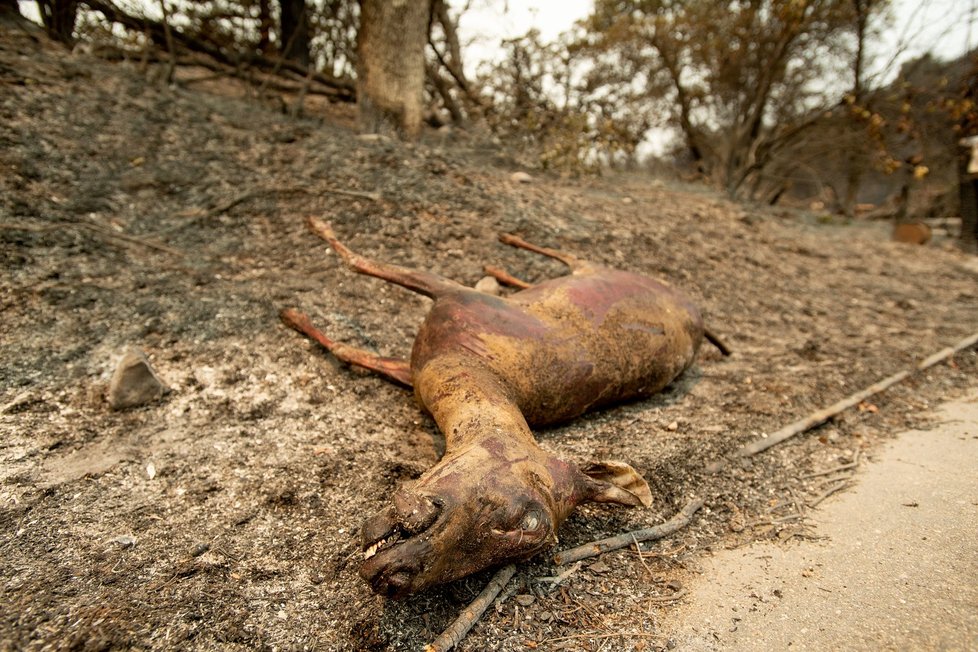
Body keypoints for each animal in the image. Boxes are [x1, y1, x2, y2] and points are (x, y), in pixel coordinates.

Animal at [278, 220, 720, 600]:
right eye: (513, 519)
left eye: (522, 535)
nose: (397, 577)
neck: (479, 367)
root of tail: (694, 308)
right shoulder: (453, 298)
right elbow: (356, 263)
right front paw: (310, 249)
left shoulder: (419, 368)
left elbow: (346, 343)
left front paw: (295, 313)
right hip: (588, 271)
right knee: (566, 257)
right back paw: (503, 253)